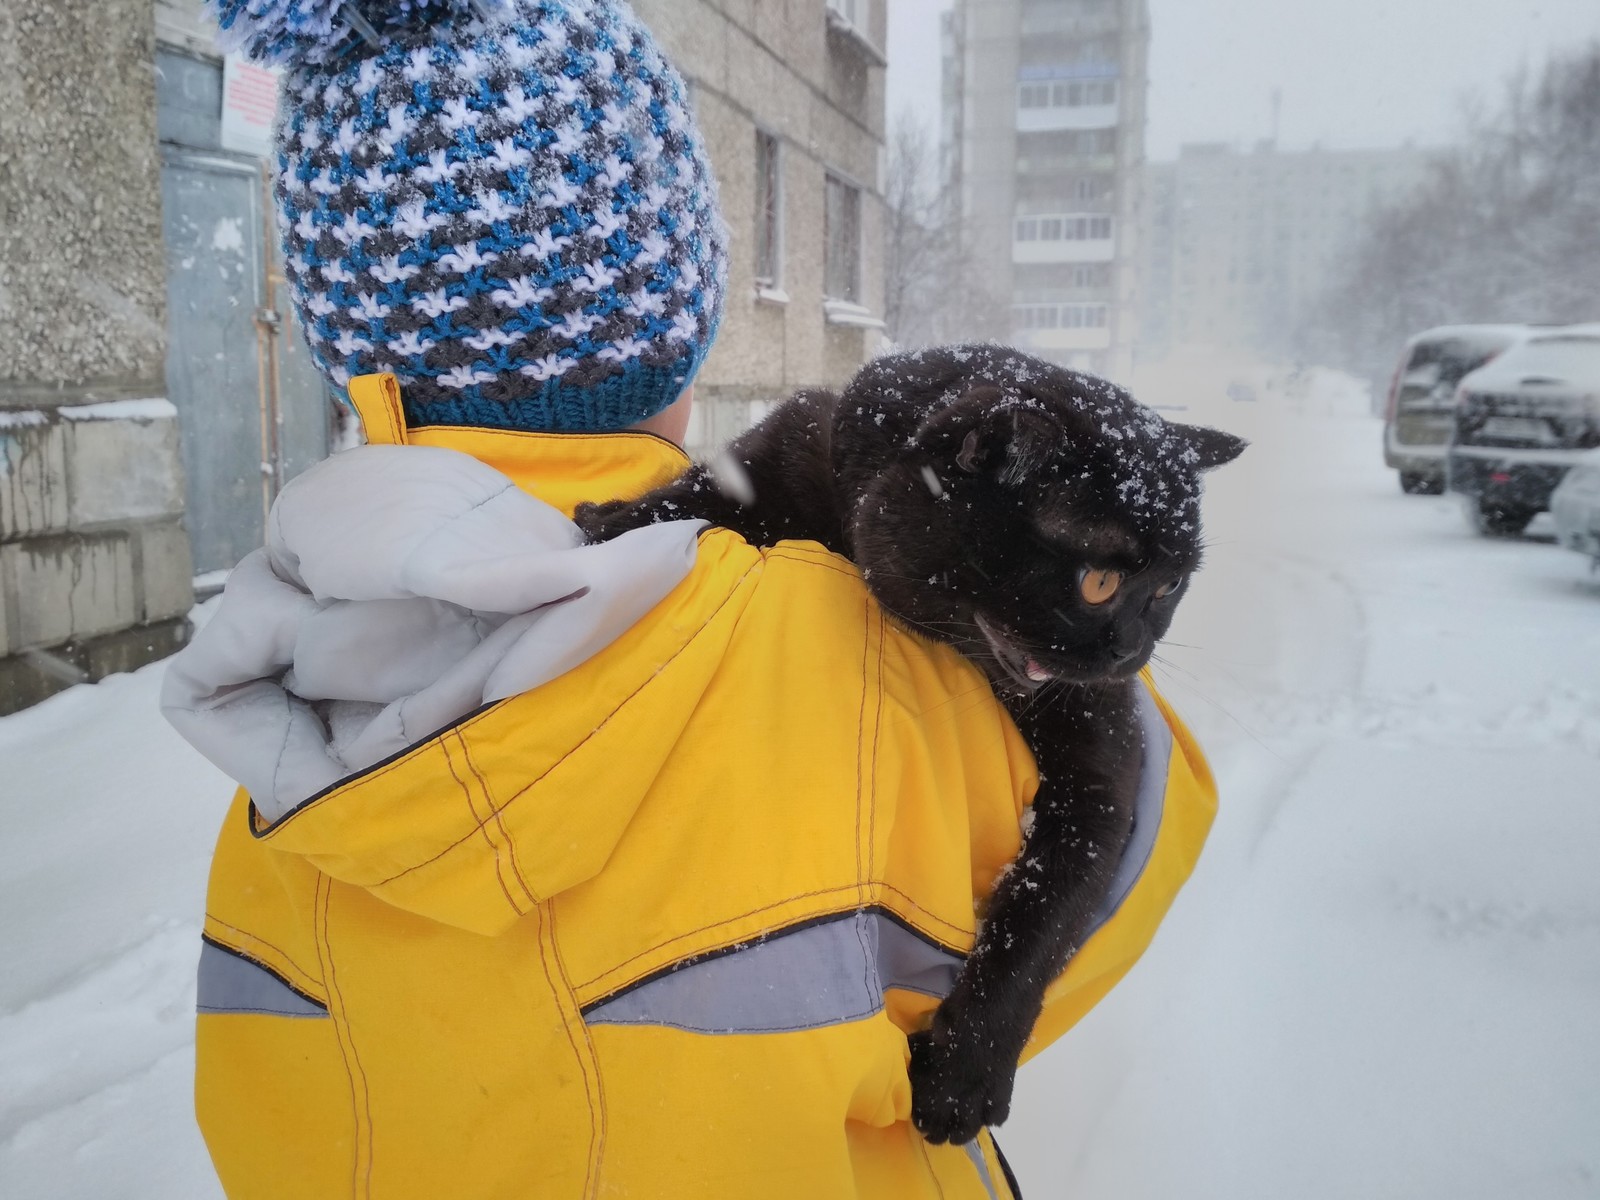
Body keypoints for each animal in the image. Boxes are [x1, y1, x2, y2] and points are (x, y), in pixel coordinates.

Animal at [582, 342, 1241, 1139]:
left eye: (1169, 587)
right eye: (1099, 583)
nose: (1133, 649)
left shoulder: (1101, 778)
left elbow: (1042, 920)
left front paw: (966, 1071)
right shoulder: (794, 443)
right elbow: (707, 490)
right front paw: (609, 522)